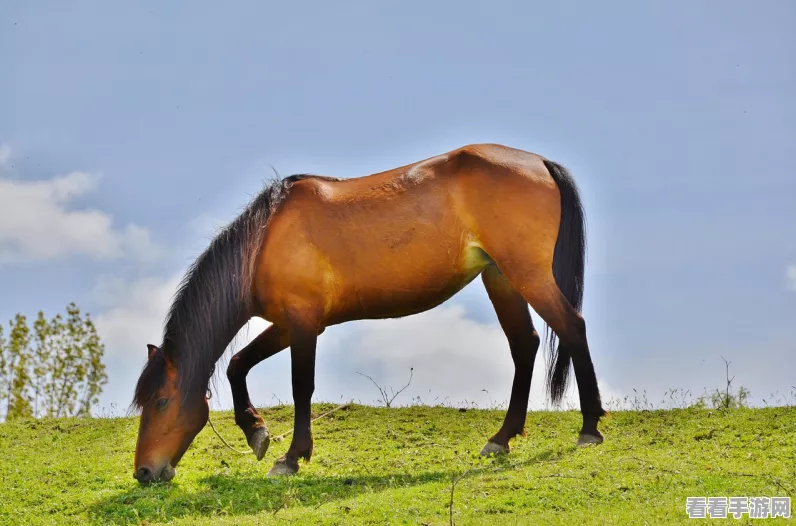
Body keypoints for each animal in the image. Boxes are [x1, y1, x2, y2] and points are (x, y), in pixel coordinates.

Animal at [131, 142, 608, 484]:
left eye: (162, 400)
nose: (144, 472)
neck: (264, 240)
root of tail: (540, 162)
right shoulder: (288, 323)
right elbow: (236, 365)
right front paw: (257, 433)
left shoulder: (303, 325)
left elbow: (301, 387)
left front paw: (291, 457)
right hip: (501, 278)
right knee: (525, 345)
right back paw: (502, 439)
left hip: (527, 275)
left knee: (572, 327)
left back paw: (589, 428)